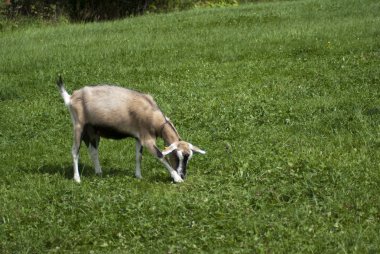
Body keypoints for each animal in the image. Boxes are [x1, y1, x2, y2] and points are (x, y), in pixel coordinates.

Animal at [55, 75, 205, 183]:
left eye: (189, 157)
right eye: (177, 155)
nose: (183, 175)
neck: (152, 114)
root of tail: (71, 97)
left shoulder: (139, 137)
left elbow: (138, 156)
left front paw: (138, 176)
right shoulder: (147, 139)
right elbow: (160, 156)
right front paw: (177, 178)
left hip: (92, 131)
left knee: (93, 151)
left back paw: (99, 172)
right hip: (78, 126)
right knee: (75, 151)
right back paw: (77, 178)